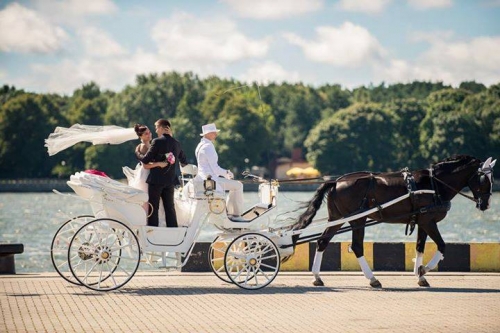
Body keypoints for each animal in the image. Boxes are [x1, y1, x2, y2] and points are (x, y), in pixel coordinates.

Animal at [290, 154, 496, 286]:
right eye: (484, 179)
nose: (486, 204)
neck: (434, 184)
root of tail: (336, 181)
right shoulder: (428, 221)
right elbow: (442, 246)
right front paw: (423, 270)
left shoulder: (422, 222)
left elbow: (420, 247)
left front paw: (420, 275)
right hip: (357, 219)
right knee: (356, 247)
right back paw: (373, 279)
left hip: (338, 217)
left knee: (322, 242)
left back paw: (317, 277)